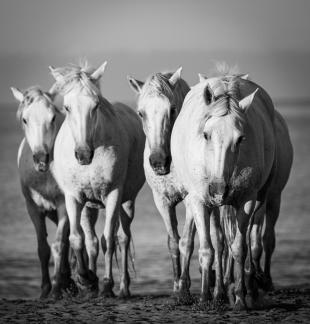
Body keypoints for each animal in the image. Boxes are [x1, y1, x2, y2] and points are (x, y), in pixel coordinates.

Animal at [10, 86, 75, 298]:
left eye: (52, 117)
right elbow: (43, 248)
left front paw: (55, 289)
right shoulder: (33, 208)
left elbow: (58, 245)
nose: (41, 159)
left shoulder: (64, 205)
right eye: (25, 119)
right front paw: (46, 288)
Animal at [50, 62, 146, 298]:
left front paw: (106, 284)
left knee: (123, 237)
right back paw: (91, 283)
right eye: (66, 107)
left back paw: (123, 287)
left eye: (96, 105)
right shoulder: (74, 197)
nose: (83, 154)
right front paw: (86, 279)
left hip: (126, 202)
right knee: (91, 241)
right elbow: (77, 238)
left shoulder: (113, 194)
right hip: (89, 206)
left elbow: (109, 240)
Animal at [127, 69, 193, 294]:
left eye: (172, 110)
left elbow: (187, 242)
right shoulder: (162, 201)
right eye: (140, 113)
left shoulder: (192, 199)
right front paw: (177, 285)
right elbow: (173, 242)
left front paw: (184, 289)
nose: (158, 161)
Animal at [172, 72, 276, 310]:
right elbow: (206, 250)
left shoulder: (246, 201)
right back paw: (211, 292)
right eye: (206, 134)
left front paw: (239, 297)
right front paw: (204, 297)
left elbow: (238, 248)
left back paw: (236, 291)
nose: (219, 188)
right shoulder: (200, 201)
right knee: (212, 243)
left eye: (240, 138)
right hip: (205, 204)